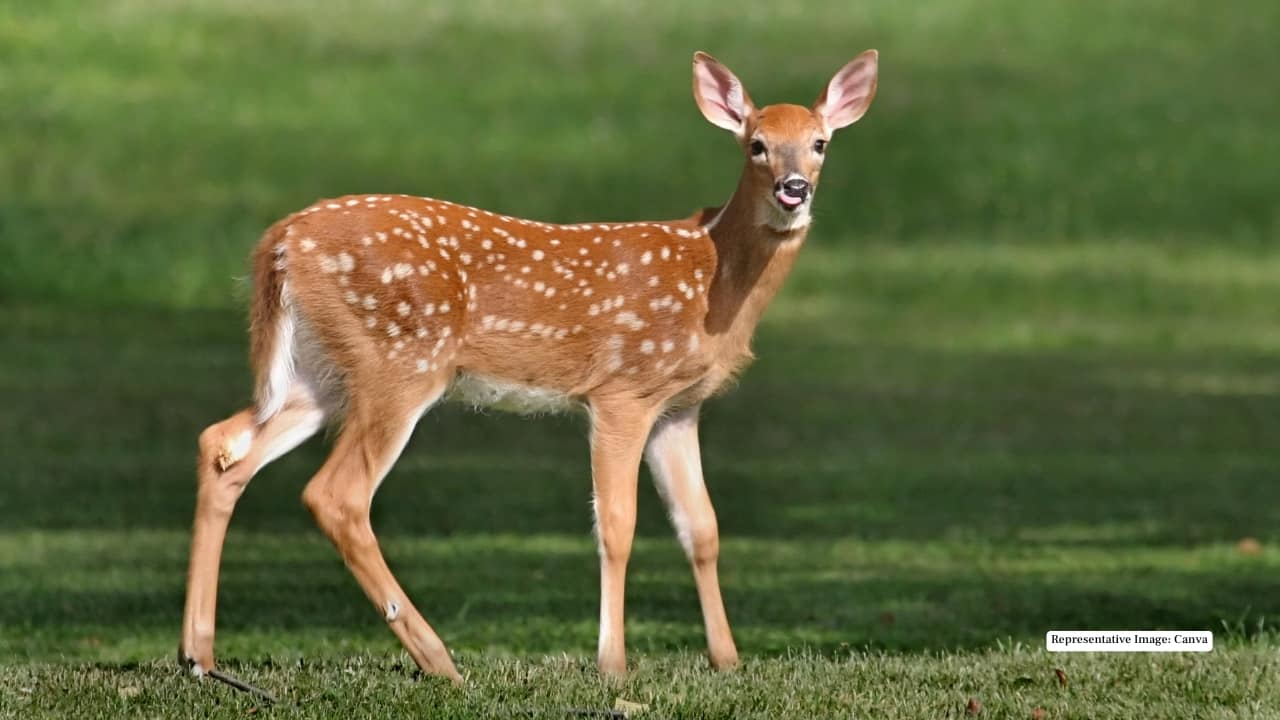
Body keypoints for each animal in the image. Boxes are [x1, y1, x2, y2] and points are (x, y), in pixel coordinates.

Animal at [179, 49, 879, 693]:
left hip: (321, 372)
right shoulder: (622, 390)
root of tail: (281, 242)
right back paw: (440, 660)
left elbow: (700, 527)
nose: (795, 188)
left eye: (819, 143)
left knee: (224, 445)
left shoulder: (679, 407)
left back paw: (199, 656)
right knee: (336, 494)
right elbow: (617, 525)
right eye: (757, 145)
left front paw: (727, 661)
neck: (713, 277)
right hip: (401, 361)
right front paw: (613, 665)